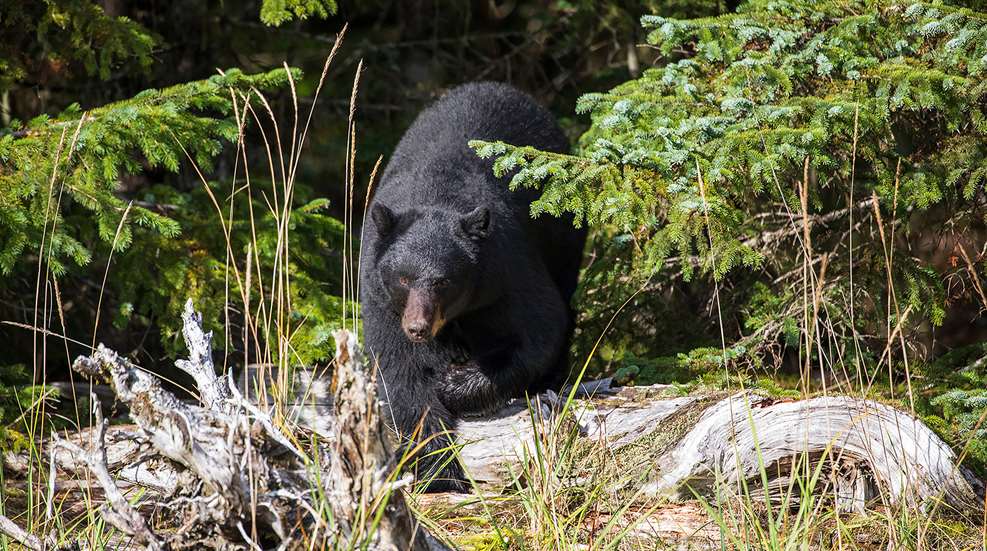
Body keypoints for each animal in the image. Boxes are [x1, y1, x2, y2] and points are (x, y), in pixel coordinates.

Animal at [359, 82, 586, 491]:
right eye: (404, 278)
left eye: (443, 281)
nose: (417, 327)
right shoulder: (381, 297)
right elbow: (401, 373)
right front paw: (438, 467)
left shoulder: (505, 269)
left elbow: (537, 331)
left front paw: (453, 382)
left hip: (562, 234)